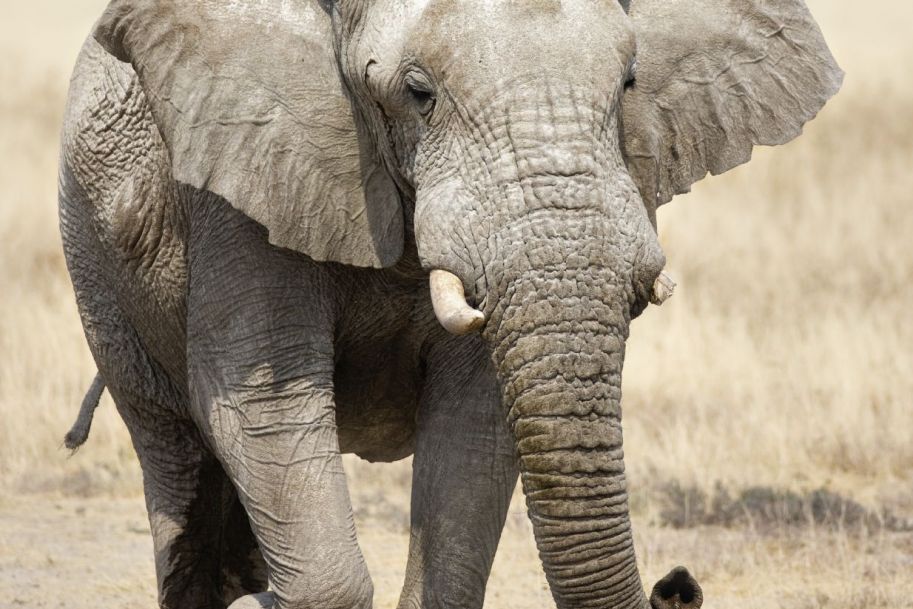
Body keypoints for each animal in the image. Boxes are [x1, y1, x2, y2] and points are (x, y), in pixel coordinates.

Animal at [57, 1, 840, 608]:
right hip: (99, 272)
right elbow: (260, 404)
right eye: (417, 92)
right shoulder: (240, 177)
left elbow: (473, 426)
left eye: (627, 83)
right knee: (179, 468)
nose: (677, 583)